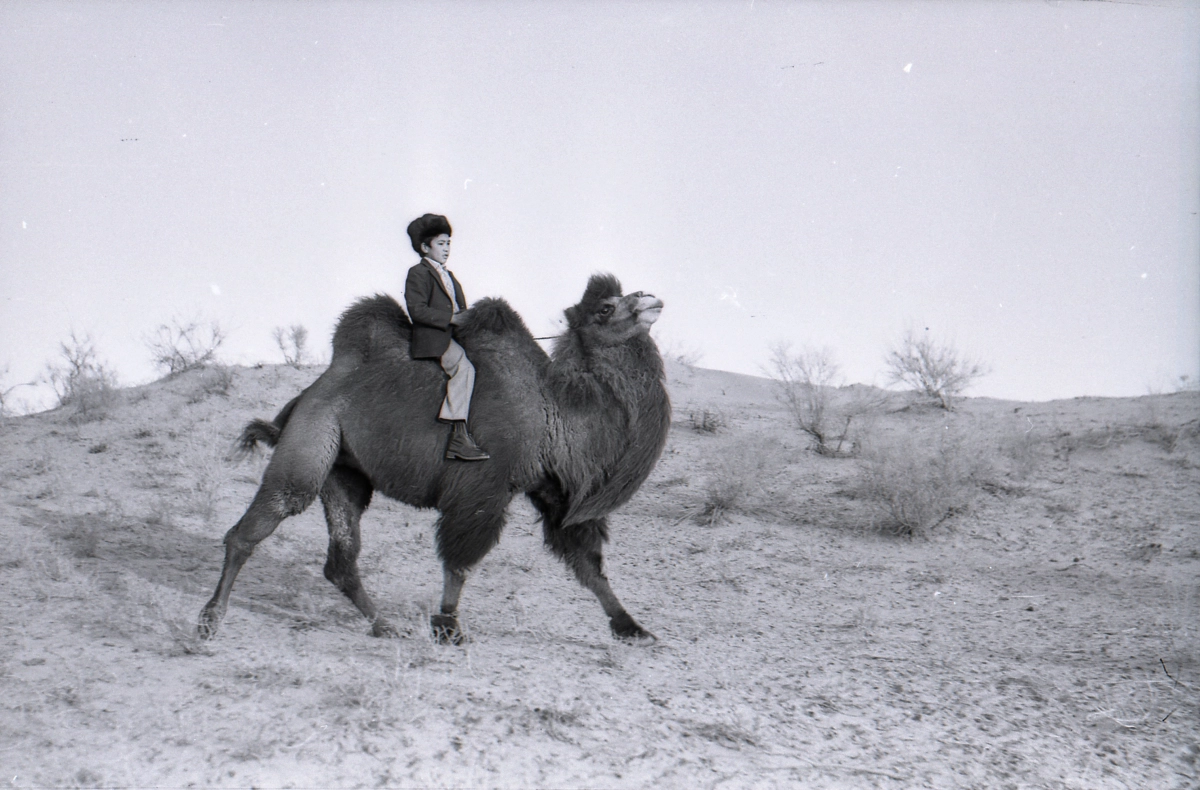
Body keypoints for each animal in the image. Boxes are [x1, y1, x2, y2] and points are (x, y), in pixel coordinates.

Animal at [195, 273, 667, 643]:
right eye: (605, 308)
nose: (651, 297)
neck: (555, 407)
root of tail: (303, 398)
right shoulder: (483, 487)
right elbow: (459, 561)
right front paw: (447, 627)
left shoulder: (552, 490)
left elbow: (589, 563)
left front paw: (633, 628)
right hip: (310, 443)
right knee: (258, 522)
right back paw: (209, 621)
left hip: (344, 473)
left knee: (341, 559)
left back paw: (384, 625)